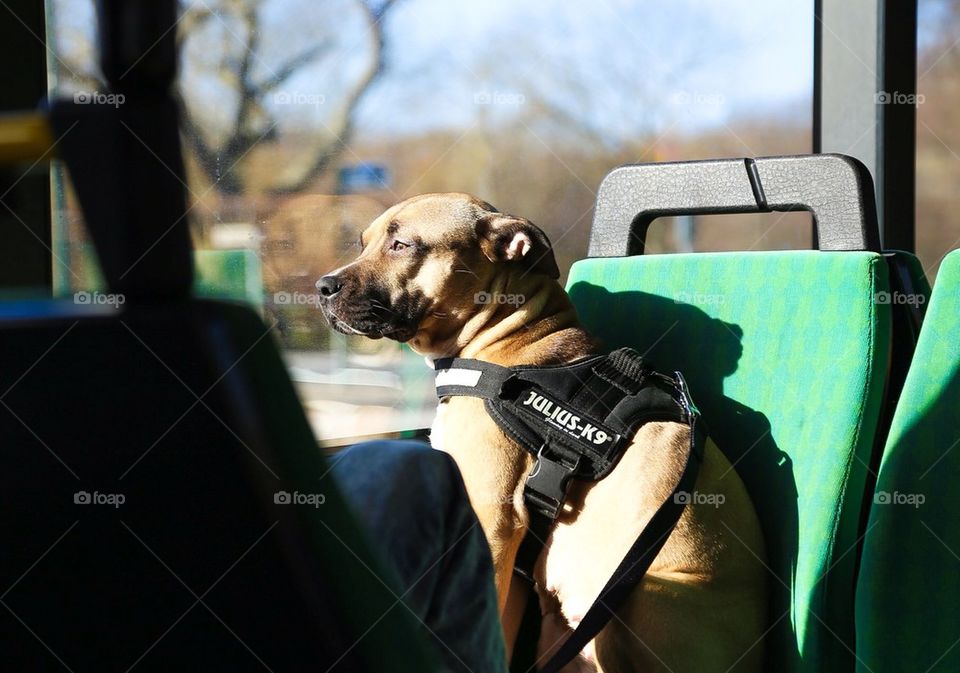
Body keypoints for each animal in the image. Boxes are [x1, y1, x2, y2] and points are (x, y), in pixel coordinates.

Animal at [318, 192, 768, 668]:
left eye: (402, 245)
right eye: (362, 243)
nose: (323, 288)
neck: (508, 338)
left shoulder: (492, 519)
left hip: (632, 597)